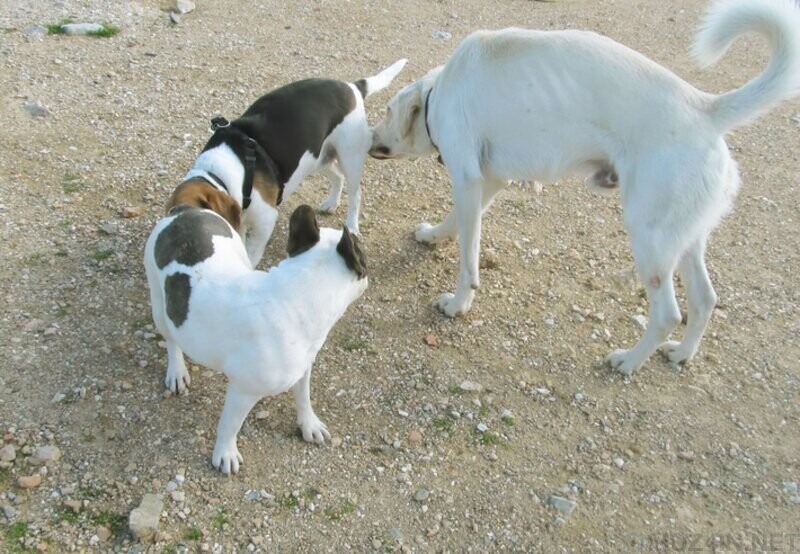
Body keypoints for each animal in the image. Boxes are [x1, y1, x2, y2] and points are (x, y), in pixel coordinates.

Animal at [145, 203, 368, 470]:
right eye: (364, 255)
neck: (297, 296)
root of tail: (183, 210)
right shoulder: (244, 391)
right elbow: (230, 424)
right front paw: (225, 452)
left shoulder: (303, 366)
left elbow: (303, 395)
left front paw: (309, 424)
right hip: (159, 303)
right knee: (171, 338)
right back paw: (177, 370)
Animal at [170, 59, 406, 268]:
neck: (218, 174)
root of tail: (352, 87)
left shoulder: (266, 219)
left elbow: (251, 253)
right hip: (319, 157)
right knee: (337, 177)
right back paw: (331, 203)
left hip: (350, 156)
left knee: (355, 194)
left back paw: (352, 226)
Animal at [370, 0, 800, 376]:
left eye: (388, 111)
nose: (370, 135)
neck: (438, 92)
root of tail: (707, 109)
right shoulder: (488, 180)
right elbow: (454, 221)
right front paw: (432, 235)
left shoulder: (467, 177)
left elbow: (468, 260)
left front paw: (459, 304)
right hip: (683, 238)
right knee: (705, 299)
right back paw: (681, 353)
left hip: (649, 238)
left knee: (667, 314)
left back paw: (629, 361)